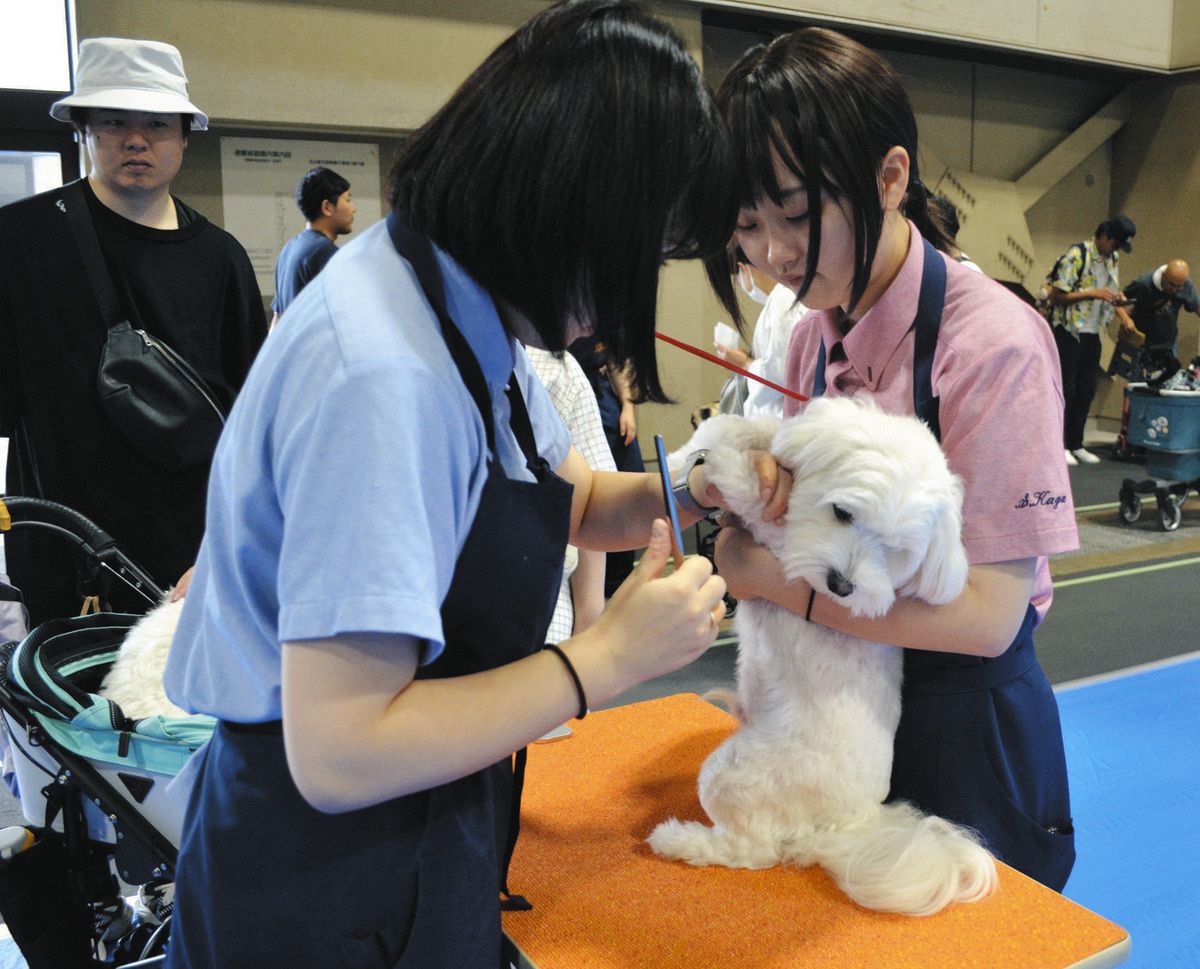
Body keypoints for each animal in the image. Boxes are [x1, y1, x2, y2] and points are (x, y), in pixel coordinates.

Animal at [652, 393, 998, 916]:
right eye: (843, 512)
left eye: (896, 549)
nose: (841, 585)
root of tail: (849, 824)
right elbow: (750, 428)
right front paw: (691, 457)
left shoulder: (782, 543)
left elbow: (755, 497)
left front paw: (727, 468)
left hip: (735, 774)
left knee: (752, 850)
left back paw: (680, 841)